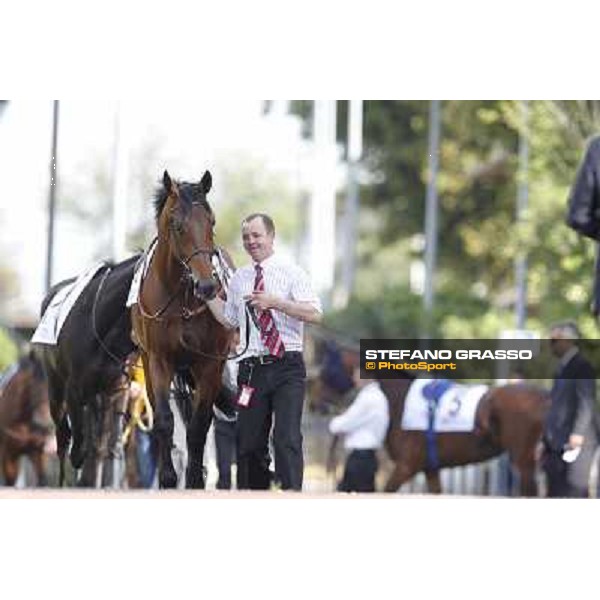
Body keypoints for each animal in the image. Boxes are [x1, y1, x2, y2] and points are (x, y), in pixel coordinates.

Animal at [35, 253, 142, 488]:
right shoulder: (73, 390)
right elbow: (79, 448)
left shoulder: (113, 390)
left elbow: (101, 445)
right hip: (55, 390)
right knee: (63, 438)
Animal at [132, 168, 234, 488]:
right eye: (177, 225)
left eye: (211, 221)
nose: (207, 286)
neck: (181, 300)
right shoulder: (159, 359)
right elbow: (164, 419)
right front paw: (167, 477)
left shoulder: (209, 364)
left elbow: (199, 426)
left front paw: (194, 478)